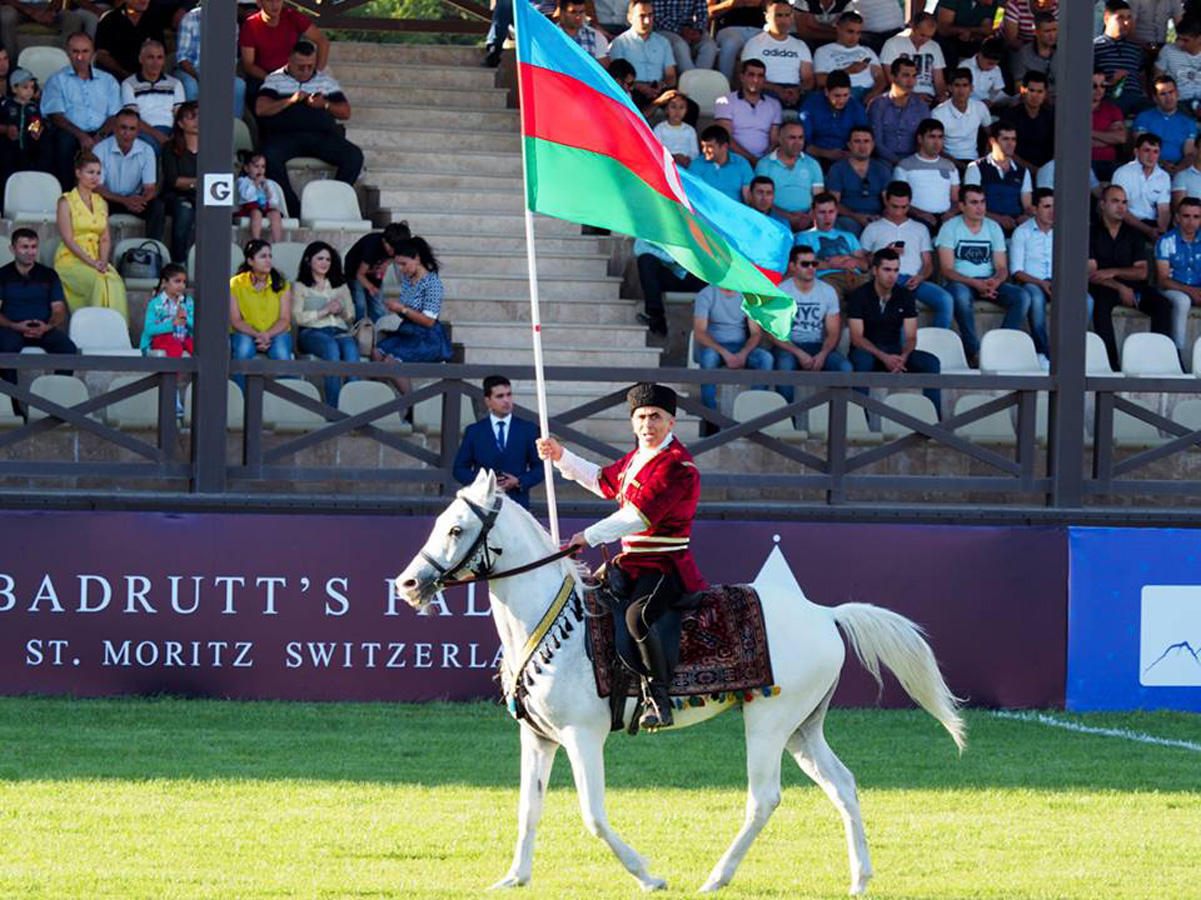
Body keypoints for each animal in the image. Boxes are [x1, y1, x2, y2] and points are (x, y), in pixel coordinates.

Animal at [396, 471, 965, 893]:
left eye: (455, 530)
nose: (408, 584)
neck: (556, 622)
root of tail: (825, 614)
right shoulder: (537, 738)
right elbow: (527, 808)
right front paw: (514, 878)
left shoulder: (583, 737)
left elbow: (592, 814)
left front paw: (648, 876)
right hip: (804, 728)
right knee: (843, 785)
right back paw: (860, 878)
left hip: (768, 722)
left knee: (764, 797)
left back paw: (717, 877)